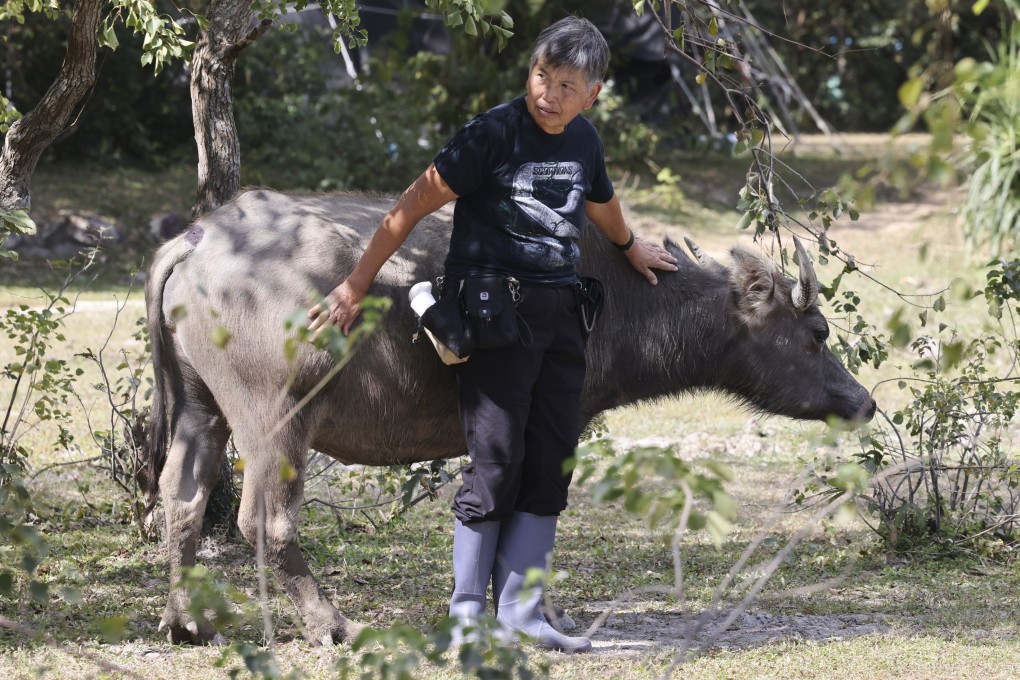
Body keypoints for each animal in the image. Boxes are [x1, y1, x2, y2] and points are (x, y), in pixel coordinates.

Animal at [144, 189, 875, 645]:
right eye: (816, 333)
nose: (862, 402)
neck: (613, 298)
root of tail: (198, 242)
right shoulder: (556, 419)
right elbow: (527, 508)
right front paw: (536, 611)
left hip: (198, 407)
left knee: (181, 497)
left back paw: (186, 621)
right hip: (275, 419)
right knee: (263, 521)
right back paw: (331, 623)